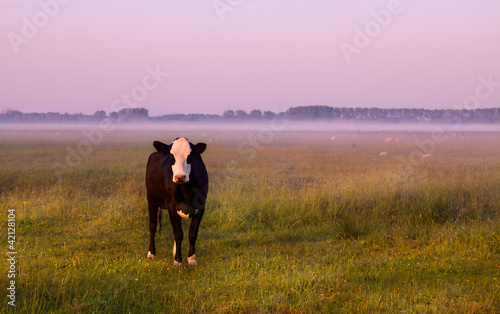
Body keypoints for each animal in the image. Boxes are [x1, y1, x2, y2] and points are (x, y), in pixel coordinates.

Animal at [146, 138, 208, 268]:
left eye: (190, 155)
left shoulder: (201, 207)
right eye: (171, 155)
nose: (180, 177)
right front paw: (178, 261)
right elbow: (178, 234)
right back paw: (151, 253)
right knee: (153, 226)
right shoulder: (171, 206)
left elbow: (192, 234)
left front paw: (191, 259)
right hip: (151, 199)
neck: (186, 191)